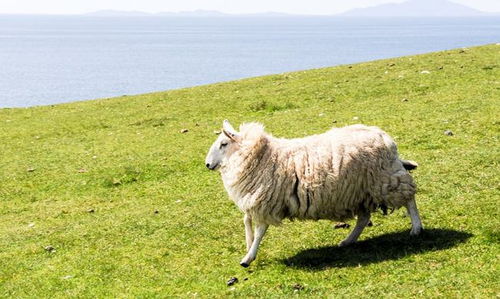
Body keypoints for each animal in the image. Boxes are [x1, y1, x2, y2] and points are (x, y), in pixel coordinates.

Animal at [205, 119, 424, 268]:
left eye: (223, 144)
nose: (207, 164)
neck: (260, 156)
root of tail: (385, 138)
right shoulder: (255, 201)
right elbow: (246, 221)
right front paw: (248, 246)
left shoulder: (265, 201)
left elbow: (259, 230)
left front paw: (248, 257)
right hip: (361, 190)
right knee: (364, 218)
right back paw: (347, 241)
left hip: (385, 180)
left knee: (409, 198)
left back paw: (416, 228)